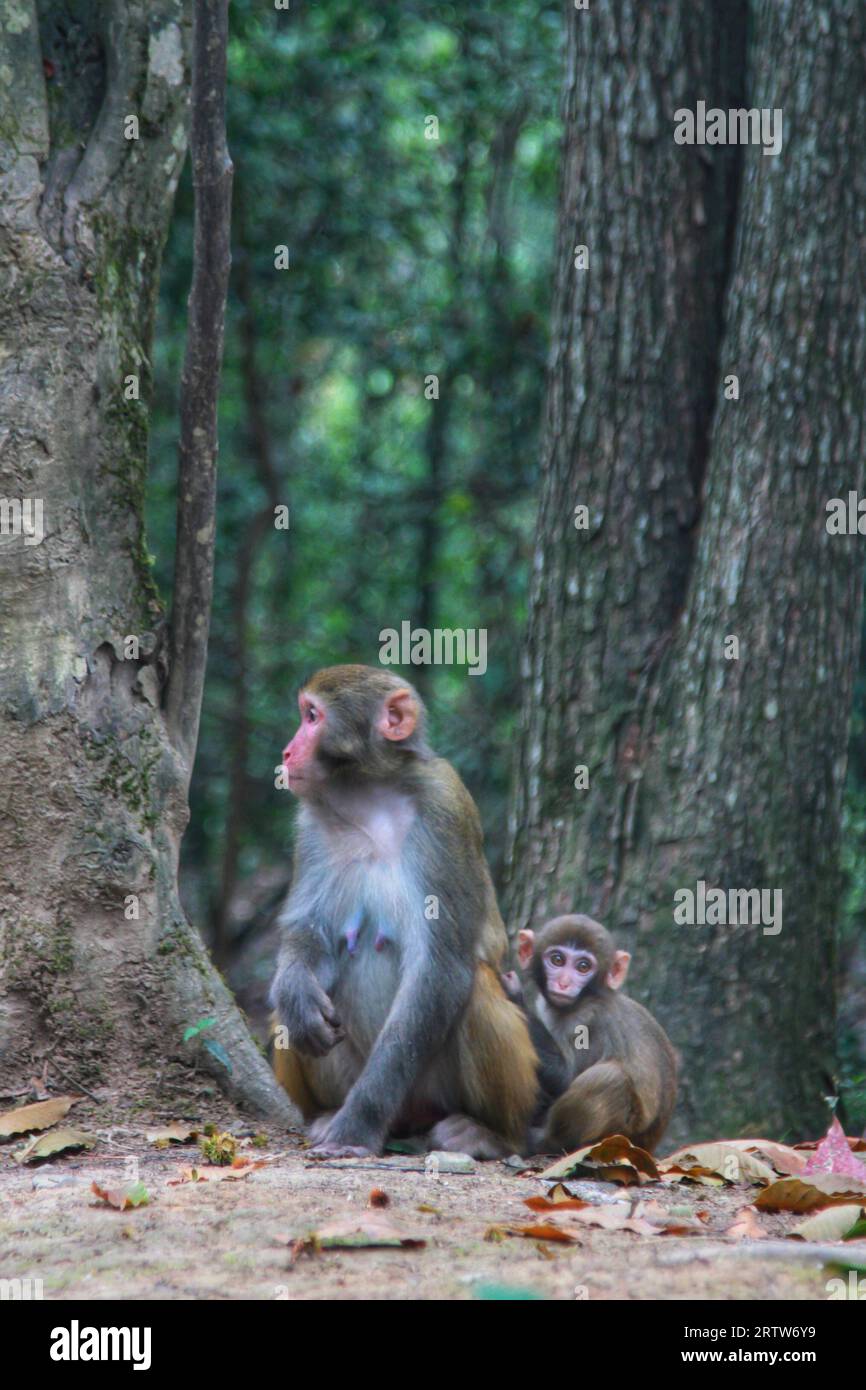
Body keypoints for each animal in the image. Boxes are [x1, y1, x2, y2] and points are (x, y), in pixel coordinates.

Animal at [505, 911, 681, 1150]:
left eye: (583, 967)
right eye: (557, 960)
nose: (563, 983)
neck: (584, 999)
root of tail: (647, 1145)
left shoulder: (588, 1020)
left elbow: (565, 1077)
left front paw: (513, 994)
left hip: (621, 1134)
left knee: (610, 1078)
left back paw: (546, 1142)